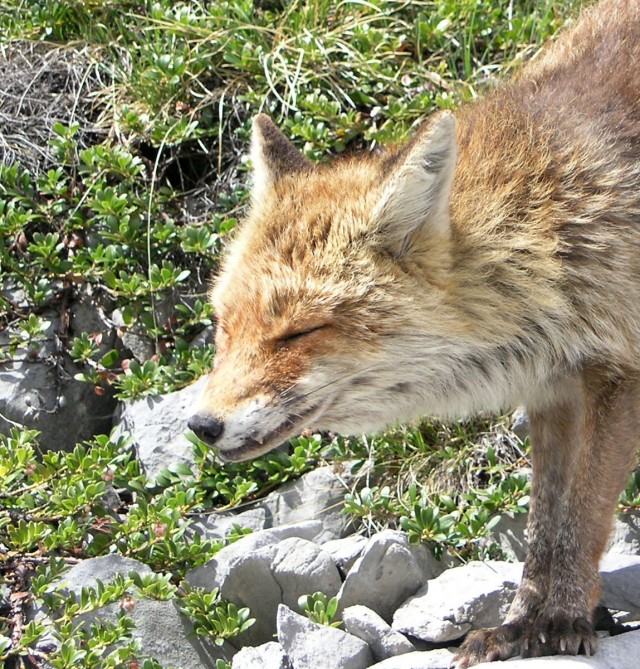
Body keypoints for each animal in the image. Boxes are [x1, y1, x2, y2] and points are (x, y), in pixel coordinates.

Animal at [188, 1, 640, 664]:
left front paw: (562, 619)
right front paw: (523, 623)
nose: (200, 425)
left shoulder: (617, 373)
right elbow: (547, 525)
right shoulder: (555, 388)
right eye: (223, 328)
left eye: (297, 333)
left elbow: (582, 517)